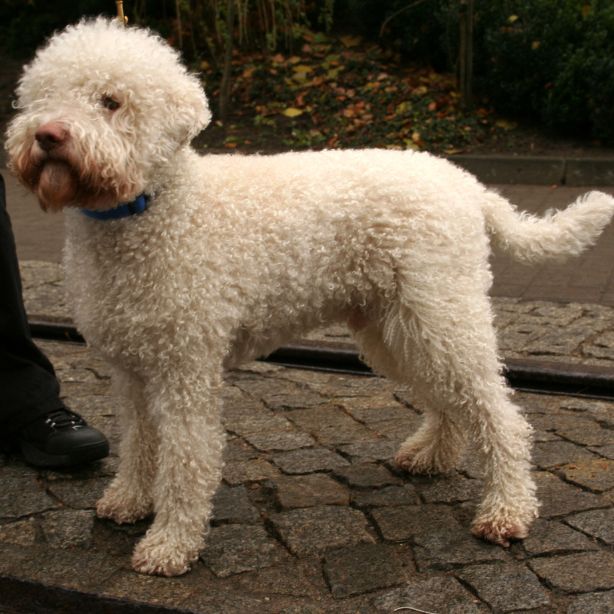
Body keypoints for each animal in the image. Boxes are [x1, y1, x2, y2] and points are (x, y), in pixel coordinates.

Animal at [6, 19, 614, 576]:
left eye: (111, 101)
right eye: (43, 97)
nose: (48, 134)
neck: (154, 208)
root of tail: (467, 184)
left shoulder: (184, 370)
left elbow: (185, 457)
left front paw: (170, 545)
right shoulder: (131, 368)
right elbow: (139, 443)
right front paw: (129, 502)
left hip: (439, 315)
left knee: (500, 414)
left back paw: (507, 510)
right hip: (395, 326)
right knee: (451, 399)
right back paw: (430, 456)